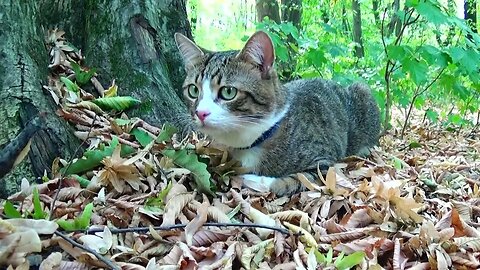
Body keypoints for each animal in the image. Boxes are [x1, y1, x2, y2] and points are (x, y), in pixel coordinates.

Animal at [174, 30, 380, 196]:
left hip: (362, 91)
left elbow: (293, 180)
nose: (200, 113)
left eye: (228, 92)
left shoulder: (324, 162)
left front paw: (253, 180)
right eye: (193, 90)